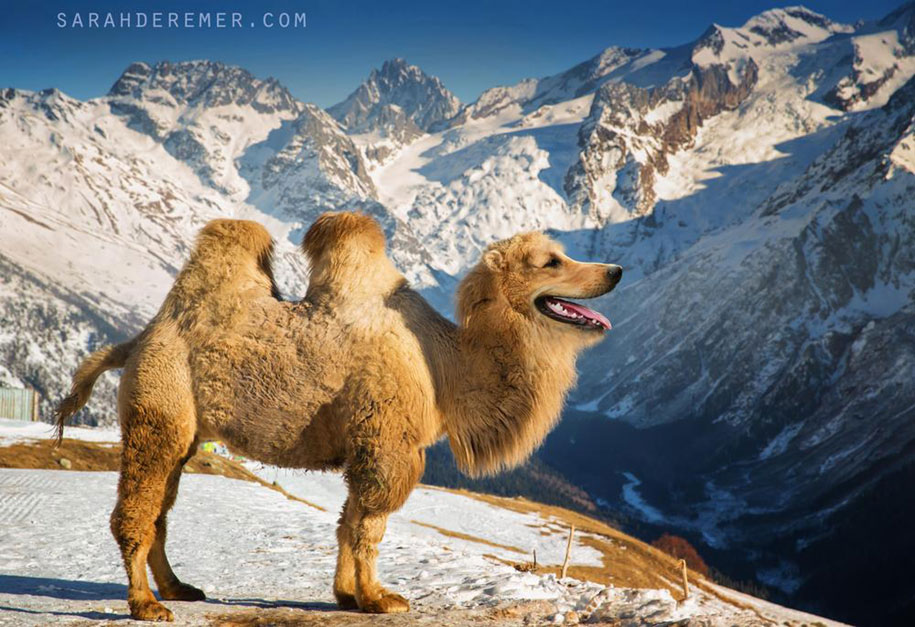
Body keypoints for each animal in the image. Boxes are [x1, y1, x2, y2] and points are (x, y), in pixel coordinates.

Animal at [55, 212, 622, 621]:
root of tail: (139, 339)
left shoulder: (364, 441)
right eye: (551, 261)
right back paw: (145, 604)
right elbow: (370, 523)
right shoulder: (388, 440)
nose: (614, 271)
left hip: (186, 430)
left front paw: (348, 595)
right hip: (160, 405)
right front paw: (380, 598)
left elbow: (348, 520)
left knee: (163, 509)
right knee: (137, 507)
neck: (444, 366)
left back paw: (178, 588)